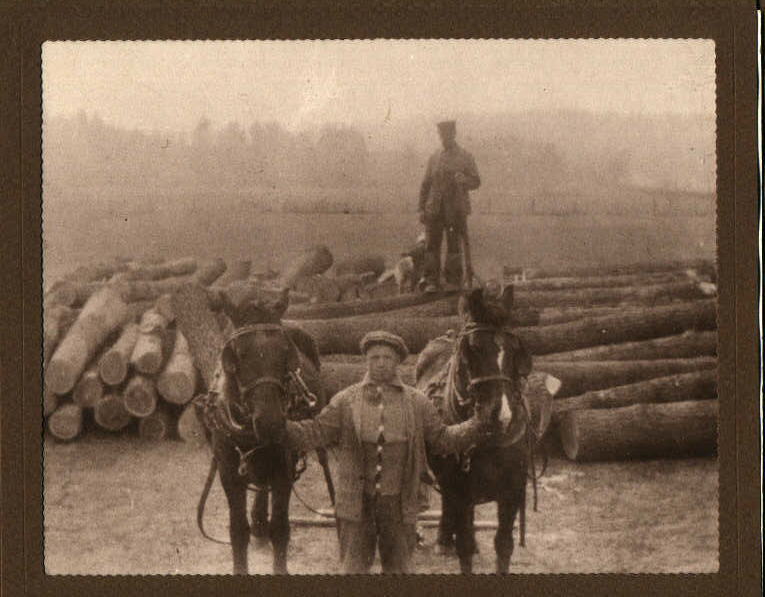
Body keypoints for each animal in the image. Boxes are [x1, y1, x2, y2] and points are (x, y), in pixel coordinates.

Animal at [192, 288, 332, 572]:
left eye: (286, 351)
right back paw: (258, 524)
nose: (270, 423)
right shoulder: (228, 474)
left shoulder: (283, 470)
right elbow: (237, 531)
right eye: (238, 355)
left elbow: (280, 529)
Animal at [414, 284, 536, 572]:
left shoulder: (512, 492)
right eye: (473, 348)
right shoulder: (460, 492)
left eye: (514, 349)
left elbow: (504, 546)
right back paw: (444, 539)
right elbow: (465, 548)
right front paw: (455, 543)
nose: (501, 415)